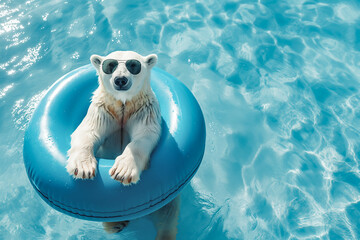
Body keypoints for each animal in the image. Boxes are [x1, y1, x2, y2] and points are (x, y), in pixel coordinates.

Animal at [65, 51, 160, 185]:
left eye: (133, 65)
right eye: (110, 65)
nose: (120, 80)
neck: (123, 103)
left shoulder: (143, 110)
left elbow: (145, 134)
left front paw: (123, 171)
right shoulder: (103, 109)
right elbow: (88, 131)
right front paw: (83, 168)